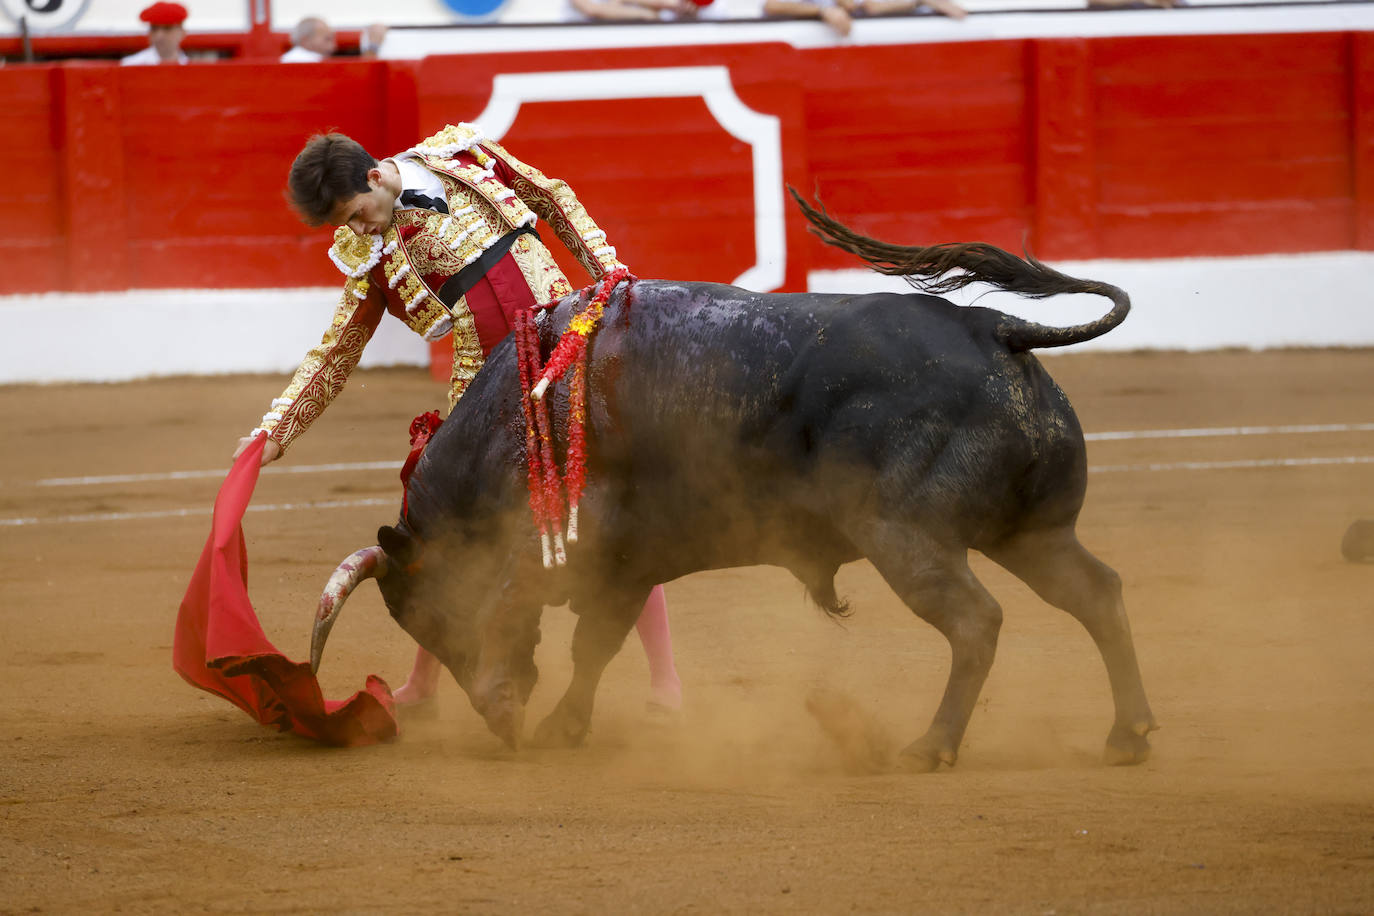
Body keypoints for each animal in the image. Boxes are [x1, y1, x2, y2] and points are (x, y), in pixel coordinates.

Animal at [309, 200, 1159, 774]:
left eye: (428, 612)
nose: (499, 726)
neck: (518, 413)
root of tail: (996, 331)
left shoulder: (555, 556)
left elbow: (541, 625)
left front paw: (522, 715)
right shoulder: (624, 566)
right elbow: (594, 648)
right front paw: (561, 728)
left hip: (908, 536)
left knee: (977, 622)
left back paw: (930, 747)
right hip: (1032, 532)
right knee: (1098, 593)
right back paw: (1129, 735)